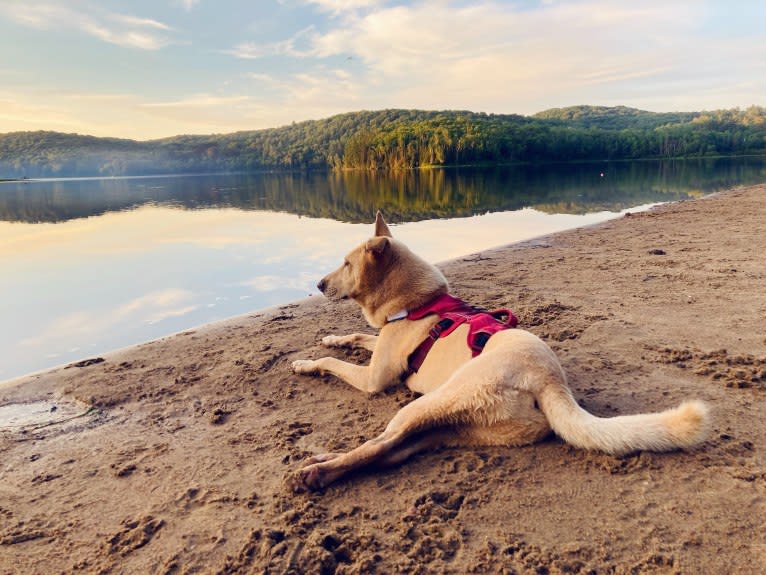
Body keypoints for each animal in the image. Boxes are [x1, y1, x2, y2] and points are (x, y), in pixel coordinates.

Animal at [292, 212, 712, 490]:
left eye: (346, 264)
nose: (318, 284)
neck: (416, 303)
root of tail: (550, 381)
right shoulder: (380, 343)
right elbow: (355, 337)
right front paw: (332, 338)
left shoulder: (374, 379)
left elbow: (332, 362)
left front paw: (304, 362)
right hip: (459, 424)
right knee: (393, 449)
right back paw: (327, 464)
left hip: (434, 400)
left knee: (383, 442)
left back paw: (318, 471)